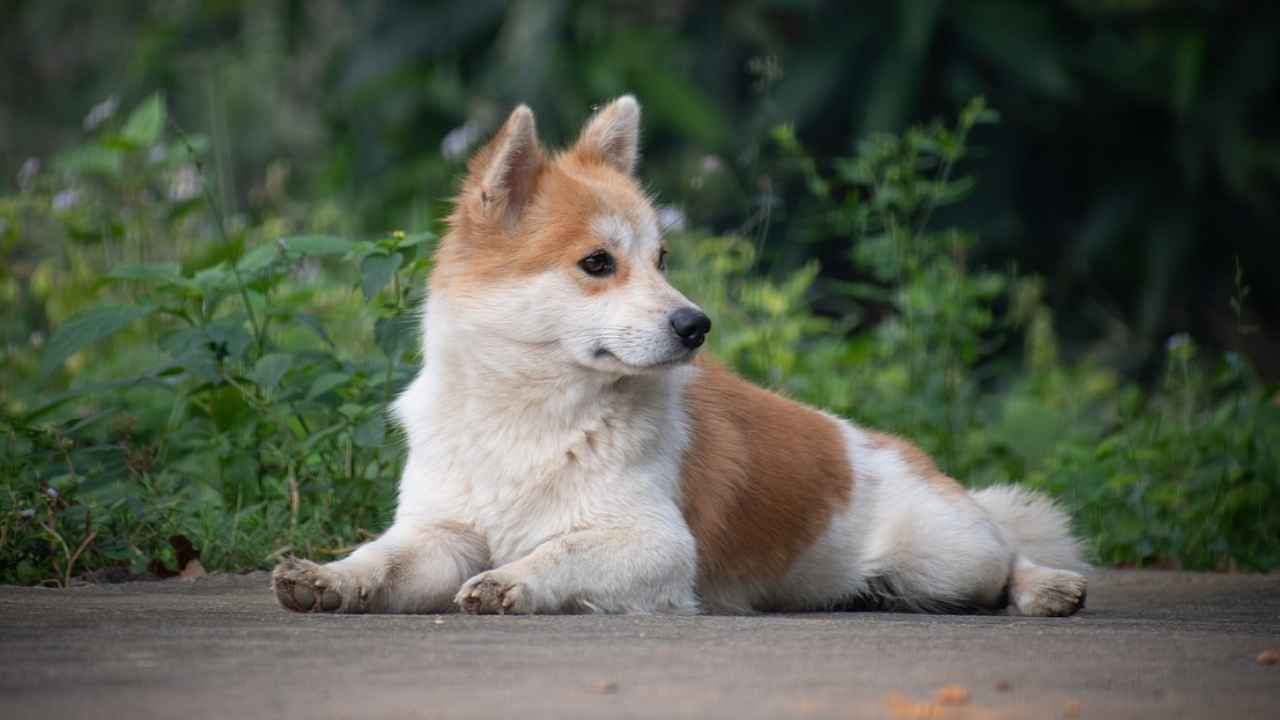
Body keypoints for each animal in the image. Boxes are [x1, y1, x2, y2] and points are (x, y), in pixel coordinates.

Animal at [272, 92, 1090, 614]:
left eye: (662, 258)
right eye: (598, 263)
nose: (697, 326)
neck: (530, 415)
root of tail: (902, 452)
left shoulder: (657, 547)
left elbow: (559, 553)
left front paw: (515, 582)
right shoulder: (440, 536)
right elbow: (381, 557)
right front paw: (327, 577)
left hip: (948, 559)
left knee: (1007, 558)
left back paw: (1047, 587)